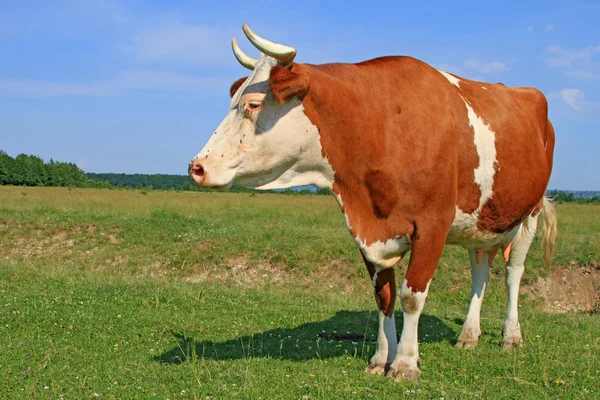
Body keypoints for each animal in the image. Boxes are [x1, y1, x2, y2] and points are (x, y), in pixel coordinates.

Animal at [189, 25, 556, 382]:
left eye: (252, 104)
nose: (197, 166)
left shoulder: (433, 225)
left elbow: (411, 296)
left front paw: (405, 364)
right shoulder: (367, 231)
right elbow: (384, 297)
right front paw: (381, 358)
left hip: (530, 213)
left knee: (513, 272)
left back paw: (511, 335)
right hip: (481, 221)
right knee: (480, 271)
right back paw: (468, 334)